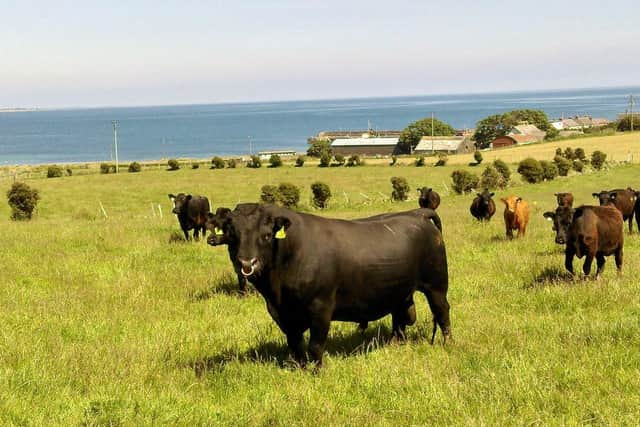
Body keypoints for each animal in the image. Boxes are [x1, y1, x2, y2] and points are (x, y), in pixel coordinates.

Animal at [220, 204, 450, 368]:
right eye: (232, 235)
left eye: (266, 235)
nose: (246, 263)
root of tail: (416, 213)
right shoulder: (282, 314)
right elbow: (295, 343)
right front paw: (300, 368)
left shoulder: (321, 308)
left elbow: (315, 345)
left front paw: (316, 371)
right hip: (399, 291)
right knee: (400, 319)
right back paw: (396, 344)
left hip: (436, 285)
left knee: (442, 312)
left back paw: (447, 343)